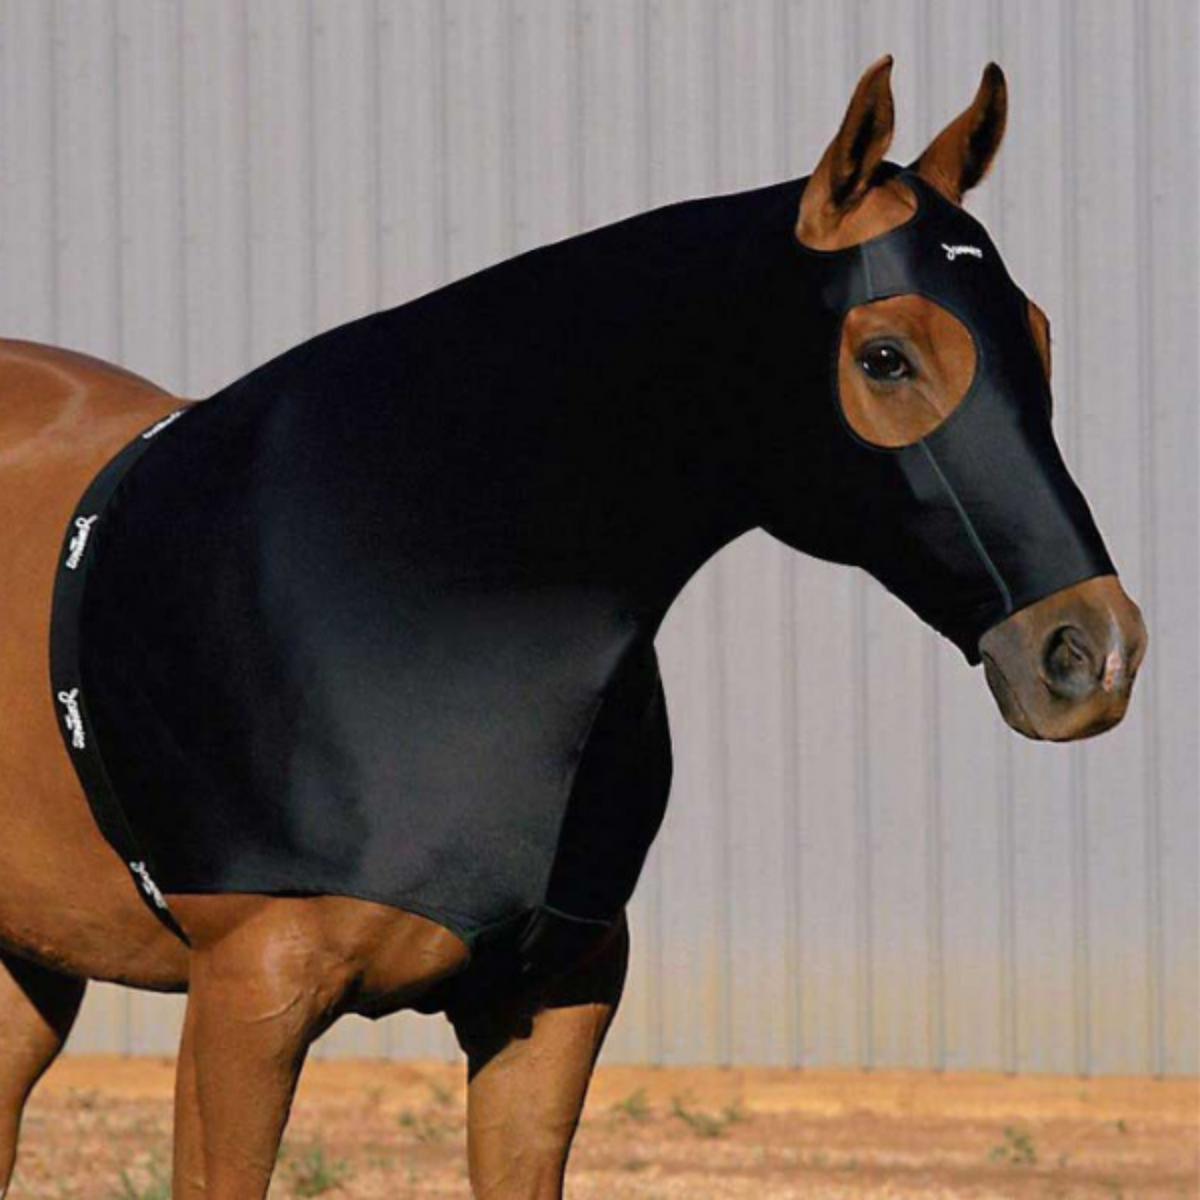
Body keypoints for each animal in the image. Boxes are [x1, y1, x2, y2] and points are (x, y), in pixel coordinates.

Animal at [0, 56, 1145, 1200]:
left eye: (1038, 334)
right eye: (887, 356)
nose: (1092, 653)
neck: (417, 582)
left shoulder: (555, 998)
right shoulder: (248, 999)